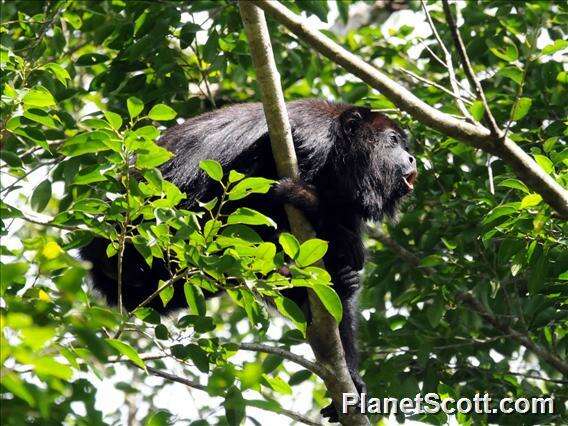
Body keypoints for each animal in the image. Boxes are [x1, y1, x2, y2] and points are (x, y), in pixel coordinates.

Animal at [83, 100, 418, 422]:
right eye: (393, 141)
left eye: (405, 145)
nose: (413, 159)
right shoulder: (307, 138)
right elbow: (245, 182)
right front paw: (319, 213)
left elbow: (336, 303)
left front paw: (351, 379)